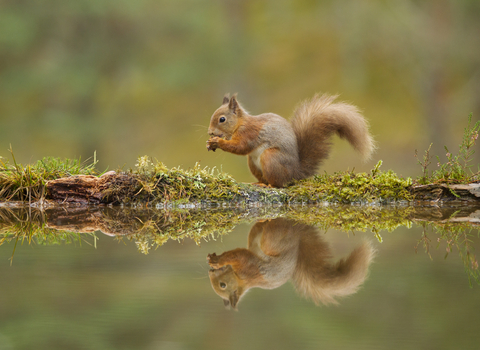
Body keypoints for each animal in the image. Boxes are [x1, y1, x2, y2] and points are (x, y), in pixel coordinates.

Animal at [206, 91, 376, 187]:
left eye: (222, 119)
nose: (209, 132)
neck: (240, 123)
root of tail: (295, 173)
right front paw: (210, 143)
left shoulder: (249, 133)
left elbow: (240, 147)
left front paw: (217, 142)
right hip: (253, 163)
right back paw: (259, 183)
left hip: (271, 157)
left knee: (279, 183)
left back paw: (270, 186)